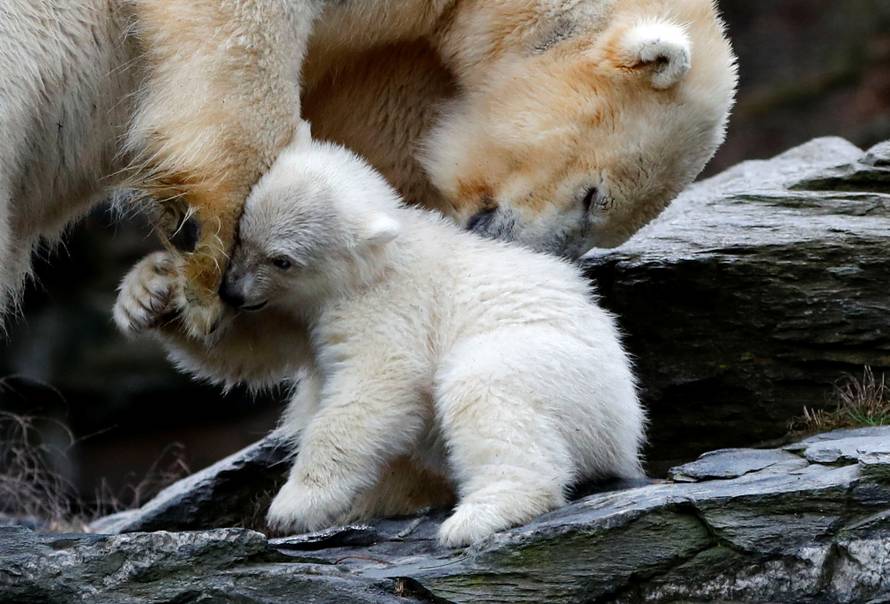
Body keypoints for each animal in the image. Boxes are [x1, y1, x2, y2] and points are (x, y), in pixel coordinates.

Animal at [1, 0, 736, 335]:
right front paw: (203, 258)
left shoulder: (391, 55)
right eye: (594, 196)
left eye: (603, 224)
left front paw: (153, 286)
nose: (524, 257)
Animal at [113, 125, 645, 546]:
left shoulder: (387, 305)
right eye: (243, 234)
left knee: (489, 389)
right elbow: (253, 350)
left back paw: (478, 516)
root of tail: (627, 434)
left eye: (282, 259)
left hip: (569, 374)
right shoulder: (302, 313)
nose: (235, 292)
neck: (375, 259)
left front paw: (294, 506)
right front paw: (148, 294)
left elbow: (377, 385)